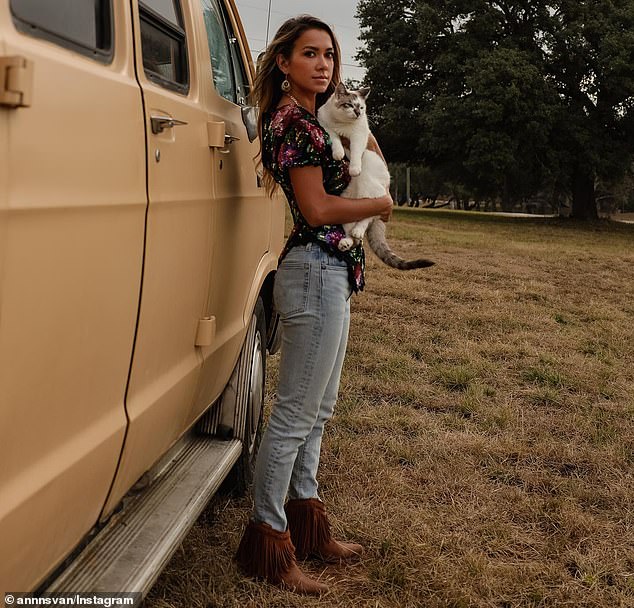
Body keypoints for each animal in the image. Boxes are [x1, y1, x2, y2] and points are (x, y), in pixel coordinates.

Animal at [316, 83, 434, 270]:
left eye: (361, 107)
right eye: (350, 105)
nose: (358, 113)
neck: (341, 124)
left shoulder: (360, 136)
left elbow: (357, 152)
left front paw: (354, 168)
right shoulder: (325, 125)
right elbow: (334, 139)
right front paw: (338, 152)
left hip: (370, 185)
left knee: (368, 217)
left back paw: (357, 230)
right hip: (347, 205)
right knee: (355, 233)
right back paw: (346, 242)